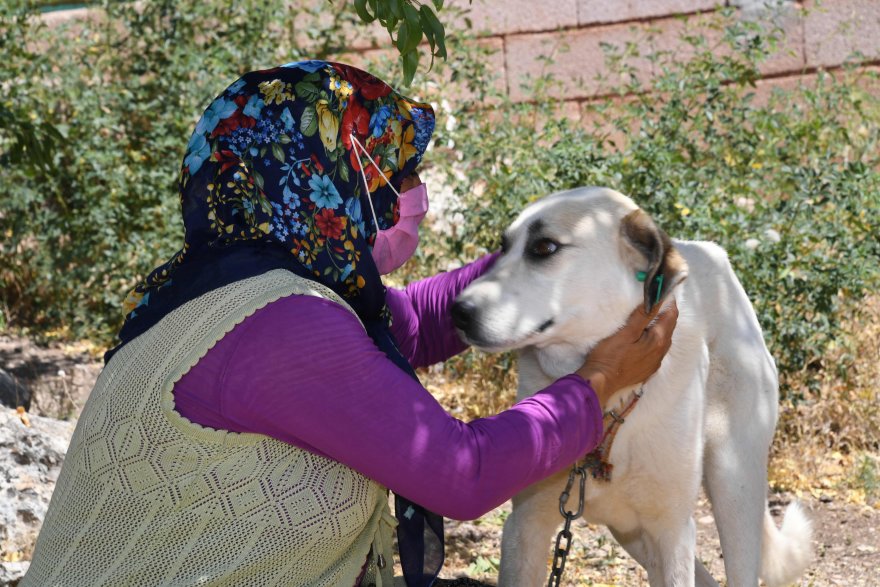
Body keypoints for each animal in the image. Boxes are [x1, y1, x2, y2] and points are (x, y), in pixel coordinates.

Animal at [454, 188, 812, 587]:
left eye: (545, 247)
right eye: (503, 248)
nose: (457, 311)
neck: (612, 399)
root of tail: (710, 253)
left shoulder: (672, 532)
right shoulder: (526, 526)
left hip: (733, 484)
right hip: (635, 533)